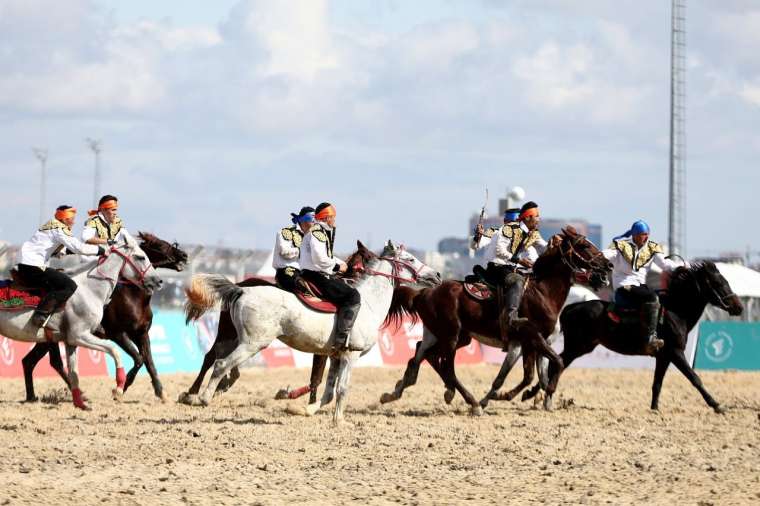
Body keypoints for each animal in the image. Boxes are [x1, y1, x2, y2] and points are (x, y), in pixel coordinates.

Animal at [0, 238, 160, 412]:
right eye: (140, 257)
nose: (158, 280)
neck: (89, 290)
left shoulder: (71, 341)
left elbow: (74, 373)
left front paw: (80, 404)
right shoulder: (81, 336)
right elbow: (115, 351)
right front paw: (118, 389)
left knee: (33, 362)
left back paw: (33, 397)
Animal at [21, 233, 189, 404]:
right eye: (160, 245)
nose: (184, 255)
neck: (133, 296)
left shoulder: (142, 334)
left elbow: (149, 361)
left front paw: (160, 392)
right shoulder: (118, 334)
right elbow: (139, 359)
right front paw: (120, 388)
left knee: (30, 361)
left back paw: (32, 396)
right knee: (51, 362)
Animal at [183, 240, 440, 422]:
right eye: (410, 258)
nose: (436, 275)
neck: (367, 303)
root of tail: (242, 289)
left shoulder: (336, 356)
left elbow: (327, 391)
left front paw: (304, 409)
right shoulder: (351, 355)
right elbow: (342, 389)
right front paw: (339, 421)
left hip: (237, 339)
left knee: (219, 361)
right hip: (251, 343)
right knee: (220, 364)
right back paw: (202, 397)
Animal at [378, 227, 616, 414]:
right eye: (584, 245)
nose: (607, 267)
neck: (542, 291)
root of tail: (425, 292)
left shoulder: (528, 343)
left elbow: (530, 374)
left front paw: (532, 397)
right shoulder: (532, 337)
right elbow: (553, 362)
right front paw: (537, 394)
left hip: (454, 336)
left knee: (422, 353)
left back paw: (400, 390)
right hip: (451, 336)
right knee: (445, 366)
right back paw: (471, 402)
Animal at [536, 260, 744, 412]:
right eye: (719, 283)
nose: (739, 307)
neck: (676, 312)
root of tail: (571, 308)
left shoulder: (664, 357)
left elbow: (657, 383)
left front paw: (654, 409)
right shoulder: (676, 353)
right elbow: (695, 378)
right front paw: (717, 405)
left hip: (582, 346)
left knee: (556, 363)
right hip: (577, 346)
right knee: (557, 363)